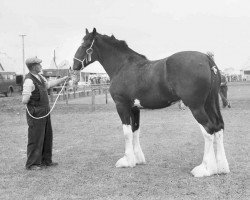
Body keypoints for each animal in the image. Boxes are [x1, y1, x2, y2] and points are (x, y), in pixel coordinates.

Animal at [71, 27, 229, 177]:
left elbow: (126, 133)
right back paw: (221, 168)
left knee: (208, 130)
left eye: (84, 44)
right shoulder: (134, 108)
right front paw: (138, 159)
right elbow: (135, 130)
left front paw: (127, 161)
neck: (123, 67)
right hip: (210, 103)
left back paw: (205, 169)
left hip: (196, 107)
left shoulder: (121, 105)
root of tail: (207, 59)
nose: (73, 66)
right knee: (218, 127)